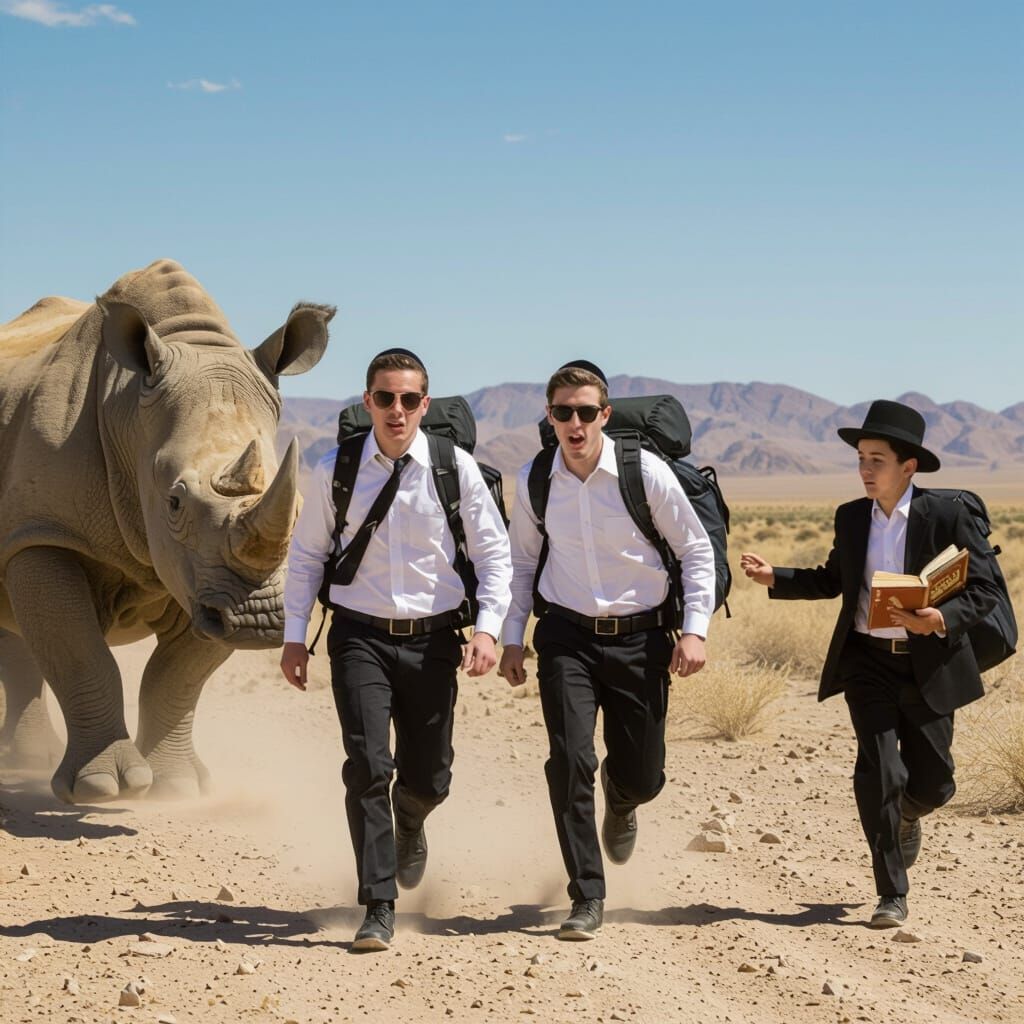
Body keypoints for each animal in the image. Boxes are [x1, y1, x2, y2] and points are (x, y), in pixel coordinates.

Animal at [0, 259, 334, 803]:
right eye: (174, 502)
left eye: (302, 509)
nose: (261, 622)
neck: (126, 409)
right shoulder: (44, 532)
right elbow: (81, 655)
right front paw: (102, 789)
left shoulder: (205, 585)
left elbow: (177, 678)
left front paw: (175, 788)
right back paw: (28, 764)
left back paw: (29, 762)